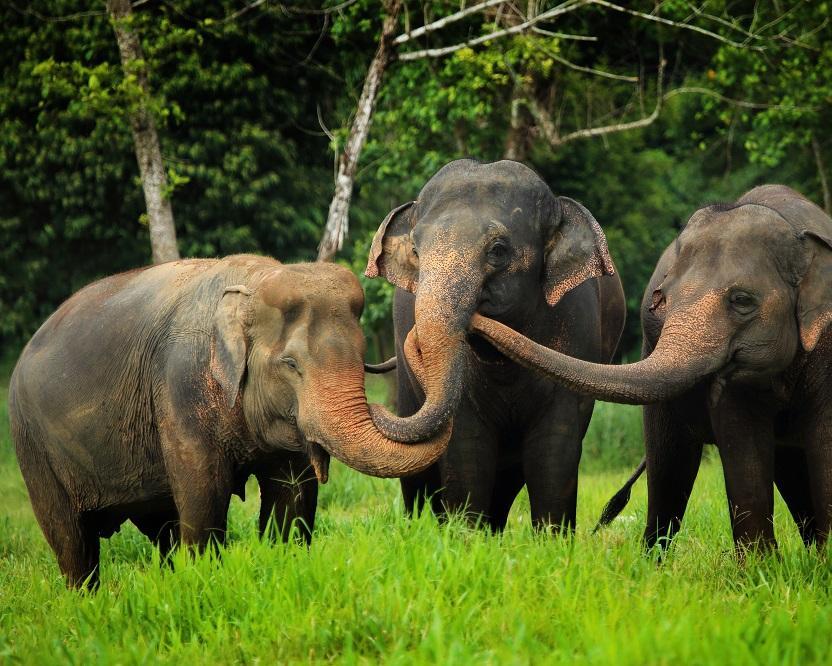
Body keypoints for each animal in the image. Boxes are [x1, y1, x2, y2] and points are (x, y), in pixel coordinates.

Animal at [364, 157, 624, 528]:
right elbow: (467, 447)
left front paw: (553, 537)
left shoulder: (577, 331)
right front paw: (463, 535)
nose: (373, 406)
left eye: (498, 251)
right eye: (415, 251)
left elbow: (555, 449)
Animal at [472, 185, 832, 548]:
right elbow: (744, 449)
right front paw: (762, 563)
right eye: (661, 300)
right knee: (670, 468)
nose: (475, 315)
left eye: (742, 300)